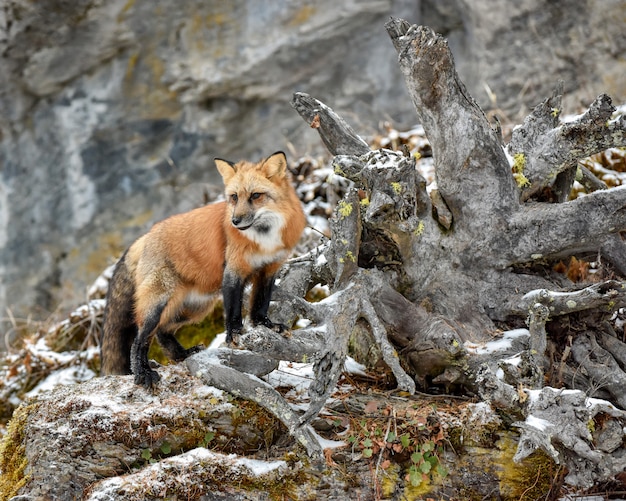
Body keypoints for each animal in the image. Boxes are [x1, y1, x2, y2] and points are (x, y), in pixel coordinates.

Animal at [99, 151, 304, 386]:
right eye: (234, 197)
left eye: (255, 195)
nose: (235, 221)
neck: (264, 239)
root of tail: (145, 237)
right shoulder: (233, 271)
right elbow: (233, 311)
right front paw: (234, 335)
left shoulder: (269, 269)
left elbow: (260, 306)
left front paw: (267, 326)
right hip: (161, 302)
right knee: (140, 338)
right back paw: (142, 372)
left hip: (194, 307)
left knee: (162, 331)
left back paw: (181, 355)